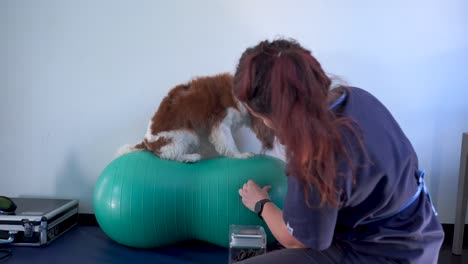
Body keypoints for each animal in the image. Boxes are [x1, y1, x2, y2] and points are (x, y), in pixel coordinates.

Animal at [117, 73, 276, 162]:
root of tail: (145, 141)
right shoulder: (221, 123)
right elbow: (230, 143)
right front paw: (240, 155)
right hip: (187, 134)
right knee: (169, 155)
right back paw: (191, 157)